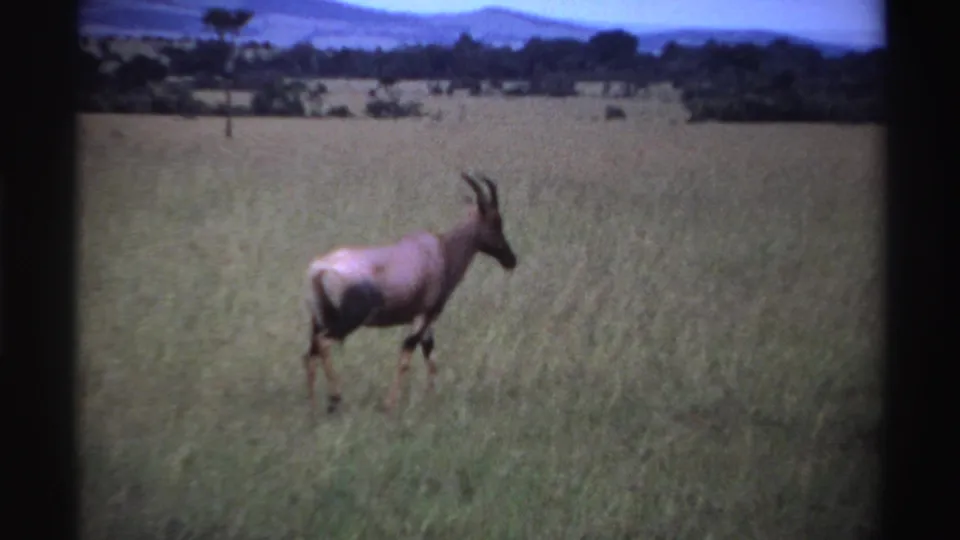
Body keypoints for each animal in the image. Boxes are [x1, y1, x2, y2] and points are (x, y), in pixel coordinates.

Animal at [302, 172, 518, 414]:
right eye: (495, 221)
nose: (511, 260)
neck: (440, 250)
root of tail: (319, 269)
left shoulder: (428, 321)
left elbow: (430, 357)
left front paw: (431, 401)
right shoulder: (424, 316)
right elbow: (407, 357)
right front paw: (390, 405)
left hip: (319, 319)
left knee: (310, 354)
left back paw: (313, 408)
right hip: (347, 321)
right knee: (323, 344)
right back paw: (335, 398)